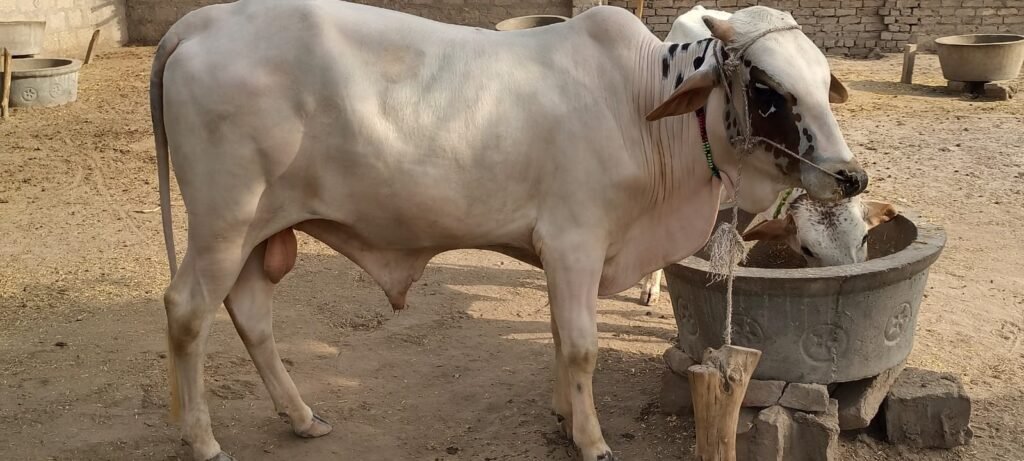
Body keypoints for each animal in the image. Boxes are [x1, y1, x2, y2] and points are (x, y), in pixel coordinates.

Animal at [150, 1, 868, 460]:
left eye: (824, 82)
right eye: (770, 90)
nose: (850, 175)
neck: (641, 108)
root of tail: (199, 21)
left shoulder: (559, 256)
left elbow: (557, 337)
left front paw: (564, 415)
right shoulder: (575, 243)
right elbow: (580, 346)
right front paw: (592, 440)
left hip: (258, 231)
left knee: (250, 313)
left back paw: (301, 417)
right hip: (223, 222)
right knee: (187, 311)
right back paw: (204, 440)